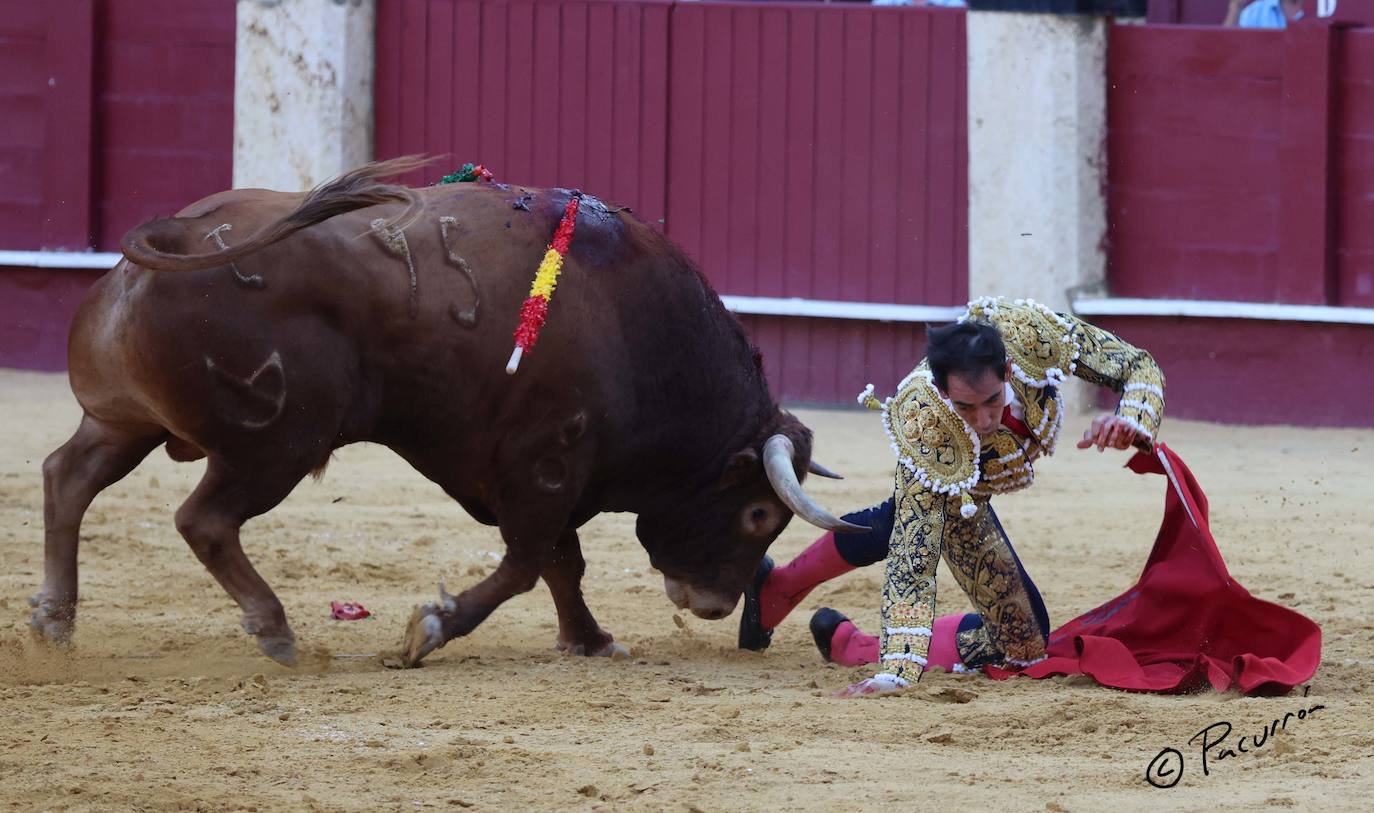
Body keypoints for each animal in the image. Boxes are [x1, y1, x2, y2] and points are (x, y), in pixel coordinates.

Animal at [32, 158, 857, 667]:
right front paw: (430, 628)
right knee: (203, 519)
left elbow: (561, 562)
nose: (715, 604)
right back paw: (276, 630)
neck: (640, 334)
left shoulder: (536, 473)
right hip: (276, 446)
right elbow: (529, 562)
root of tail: (175, 230)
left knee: (67, 478)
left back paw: (54, 619)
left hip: (124, 420)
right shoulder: (545, 464)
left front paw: (589, 639)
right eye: (758, 513)